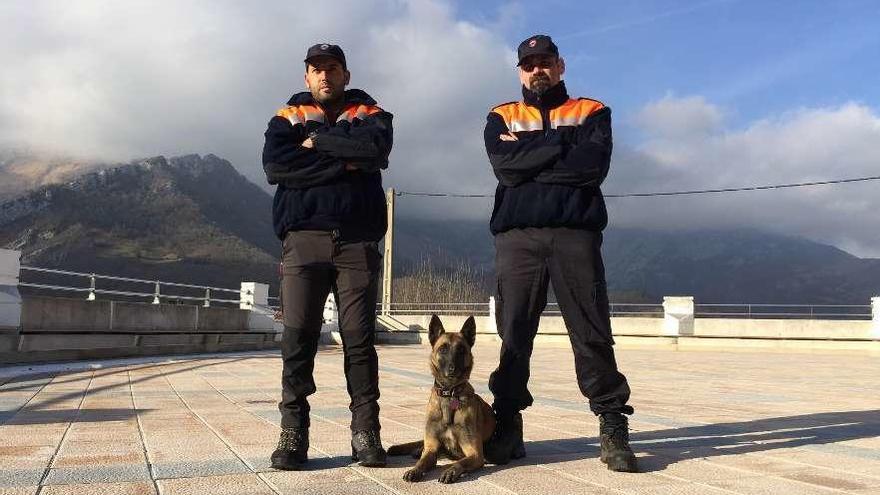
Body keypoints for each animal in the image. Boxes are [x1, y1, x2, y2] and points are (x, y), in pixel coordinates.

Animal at [388, 316, 498, 482]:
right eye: (443, 349)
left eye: (461, 349)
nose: (453, 369)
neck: (449, 393)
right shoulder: (431, 449)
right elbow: (423, 461)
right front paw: (414, 470)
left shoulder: (476, 454)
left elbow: (461, 462)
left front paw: (450, 471)